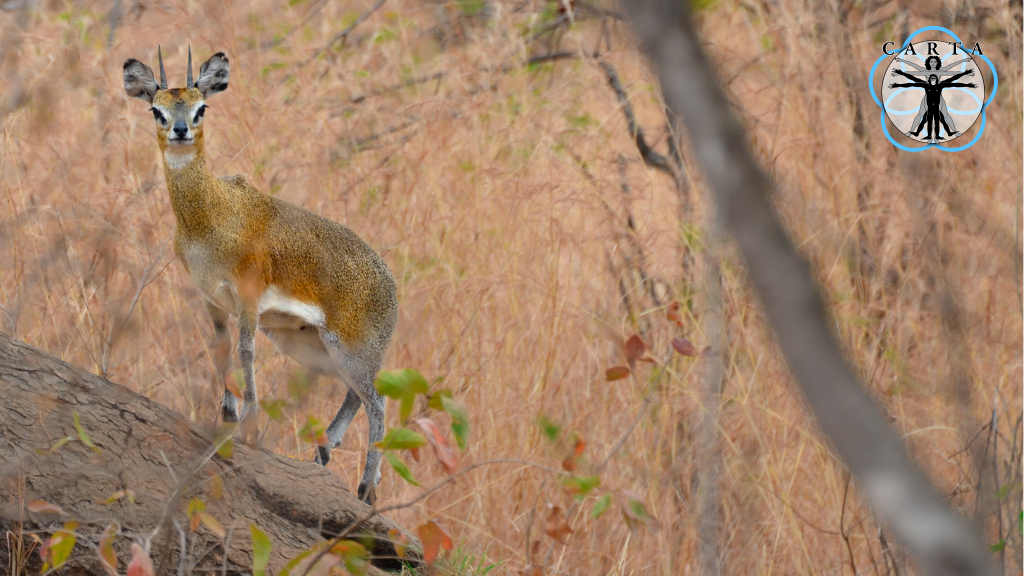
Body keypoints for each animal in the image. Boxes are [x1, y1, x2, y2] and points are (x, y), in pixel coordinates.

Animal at [123, 47, 399, 500]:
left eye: (201, 107)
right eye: (156, 110)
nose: (180, 131)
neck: (210, 217)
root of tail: (391, 285)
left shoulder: (248, 299)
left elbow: (245, 351)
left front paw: (249, 426)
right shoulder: (213, 300)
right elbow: (221, 351)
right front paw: (226, 418)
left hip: (349, 349)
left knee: (378, 401)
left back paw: (364, 487)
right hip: (312, 347)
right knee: (358, 395)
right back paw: (325, 453)